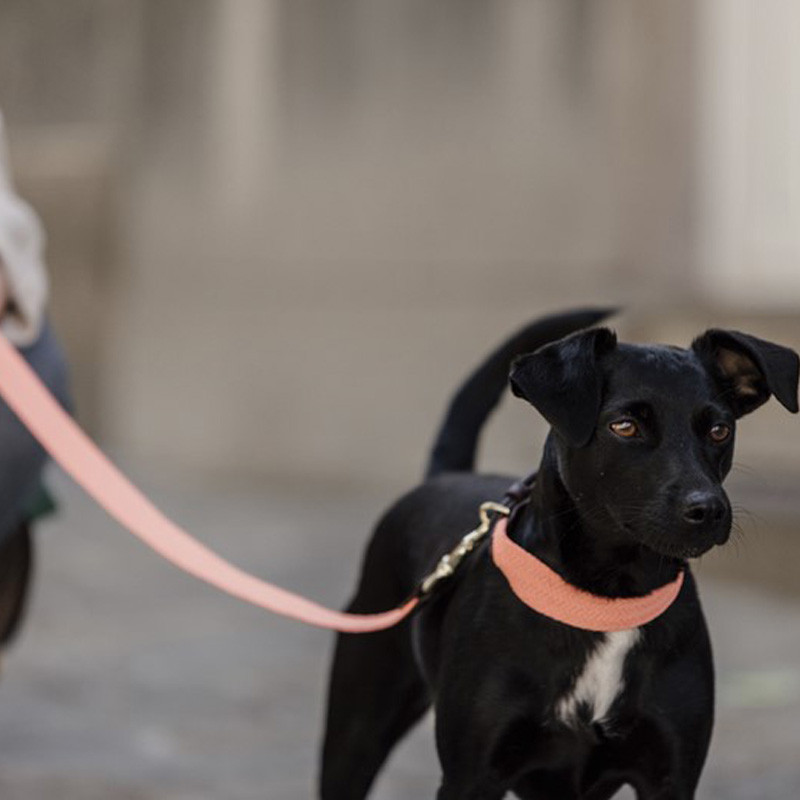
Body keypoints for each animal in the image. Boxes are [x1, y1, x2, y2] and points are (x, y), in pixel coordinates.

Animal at [320, 310, 800, 800]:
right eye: (624, 426)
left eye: (719, 429)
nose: (708, 509)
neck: (609, 600)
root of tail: (444, 478)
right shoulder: (470, 777)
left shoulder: (671, 777)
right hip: (356, 730)